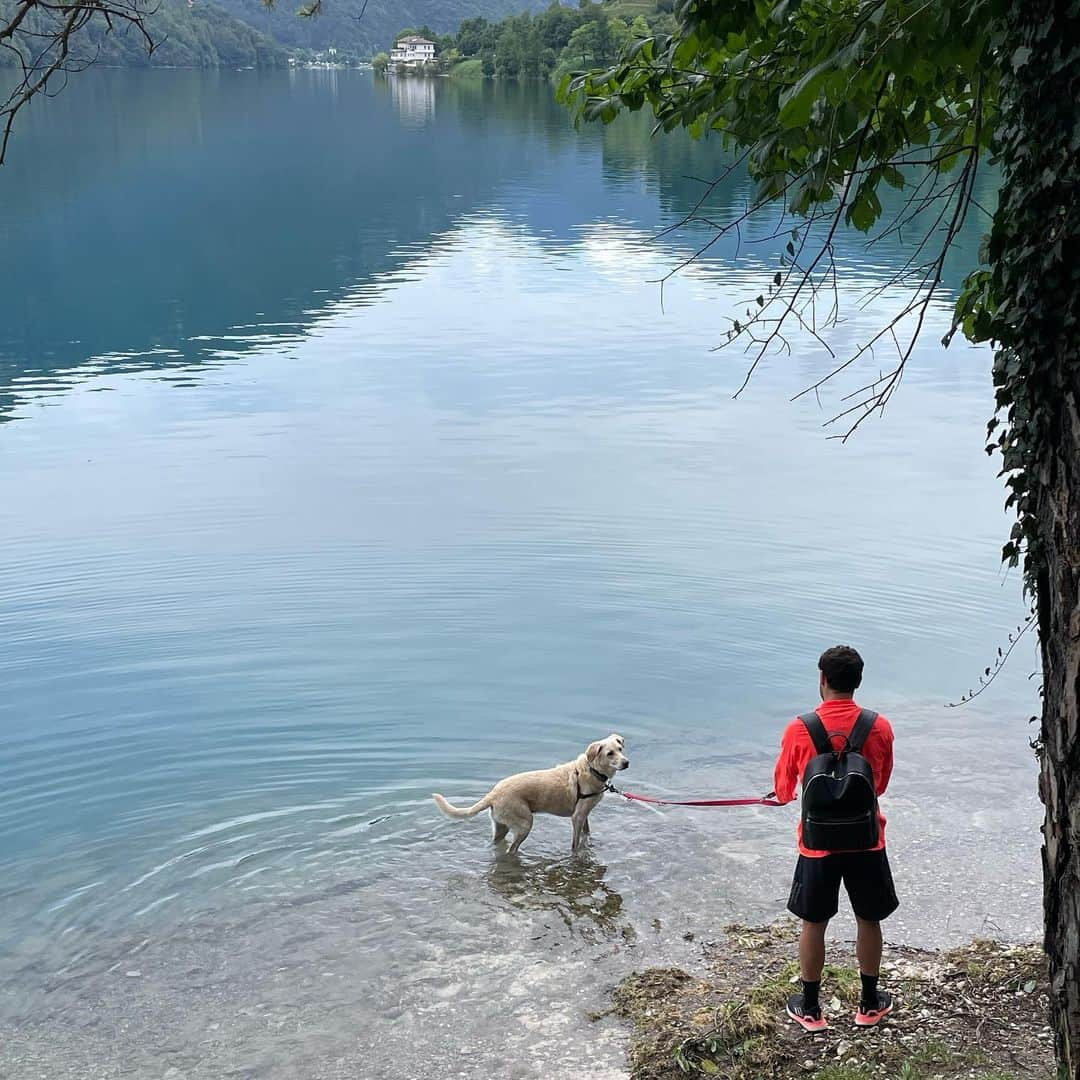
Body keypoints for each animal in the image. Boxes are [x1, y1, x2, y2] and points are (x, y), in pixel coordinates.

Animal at [432, 734, 630, 851]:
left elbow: (586, 834)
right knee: (511, 850)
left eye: (620, 749)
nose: (626, 762)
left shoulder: (584, 815)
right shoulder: (577, 816)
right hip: (525, 824)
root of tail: (493, 794)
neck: (592, 769)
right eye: (610, 753)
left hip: (501, 826)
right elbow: (575, 844)